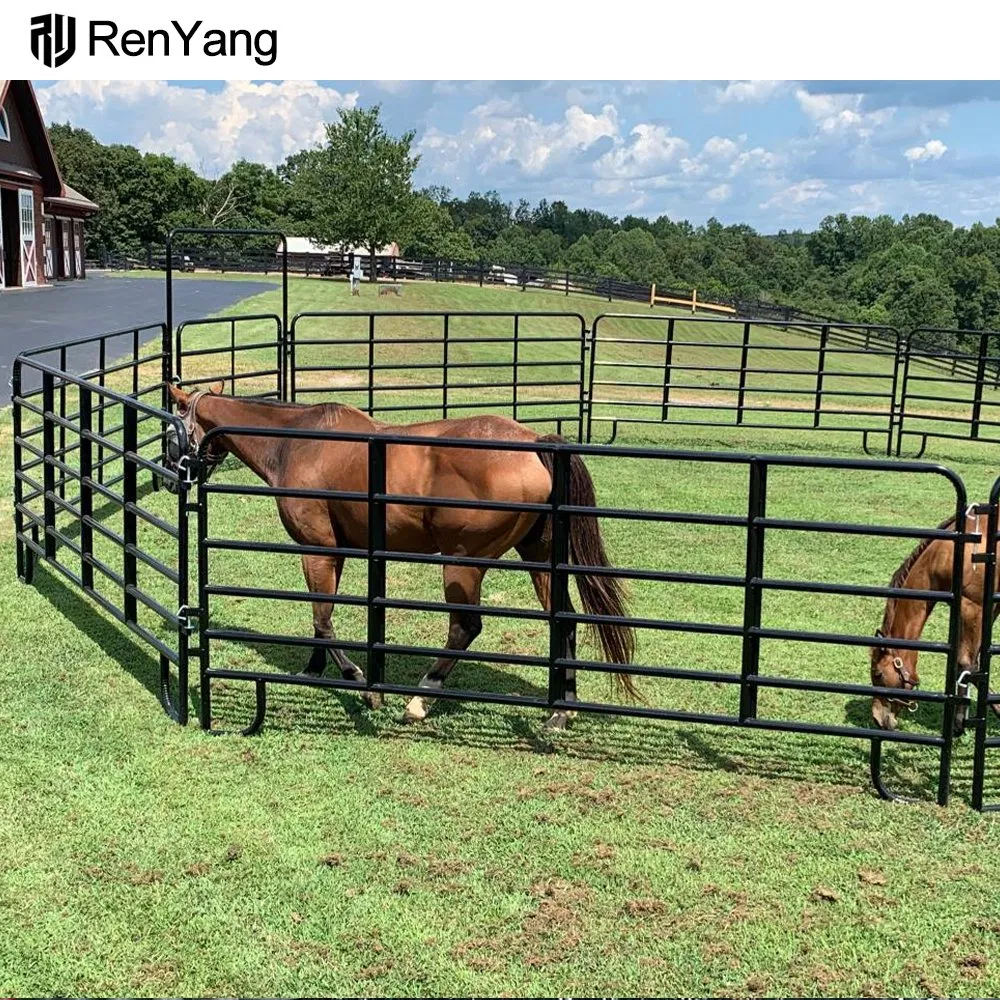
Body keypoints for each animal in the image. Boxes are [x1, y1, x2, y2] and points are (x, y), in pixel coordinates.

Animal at [164, 382, 638, 728]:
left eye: (171, 434)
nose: (170, 479)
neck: (297, 443)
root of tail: (536, 441)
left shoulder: (318, 549)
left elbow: (323, 617)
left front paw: (361, 683)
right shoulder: (336, 553)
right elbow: (319, 618)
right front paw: (314, 670)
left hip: (462, 564)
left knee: (465, 628)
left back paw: (420, 699)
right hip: (539, 558)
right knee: (565, 622)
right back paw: (562, 709)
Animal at [869, 507, 996, 735]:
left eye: (878, 674)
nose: (877, 718)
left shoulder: (973, 607)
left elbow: (966, 664)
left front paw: (959, 723)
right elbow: (978, 663)